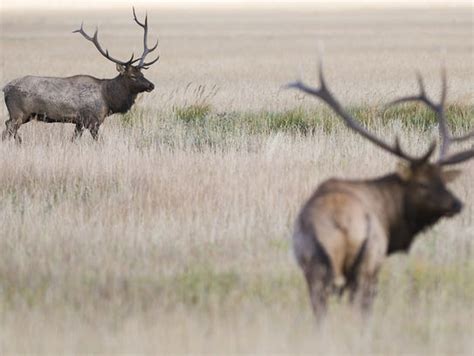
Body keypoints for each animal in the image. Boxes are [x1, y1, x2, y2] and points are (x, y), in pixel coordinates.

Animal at [1, 8, 159, 142]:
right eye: (132, 76)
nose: (151, 85)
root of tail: (5, 88)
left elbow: (74, 139)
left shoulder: (79, 122)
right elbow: (98, 141)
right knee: (8, 127)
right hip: (18, 113)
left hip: (24, 115)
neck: (108, 99)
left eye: (142, 73)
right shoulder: (92, 120)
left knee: (10, 128)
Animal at [286, 61, 474, 320]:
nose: (457, 204)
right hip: (364, 263)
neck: (392, 219)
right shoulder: (377, 259)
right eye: (422, 184)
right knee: (361, 306)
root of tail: (341, 223)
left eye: (443, 181)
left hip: (315, 266)